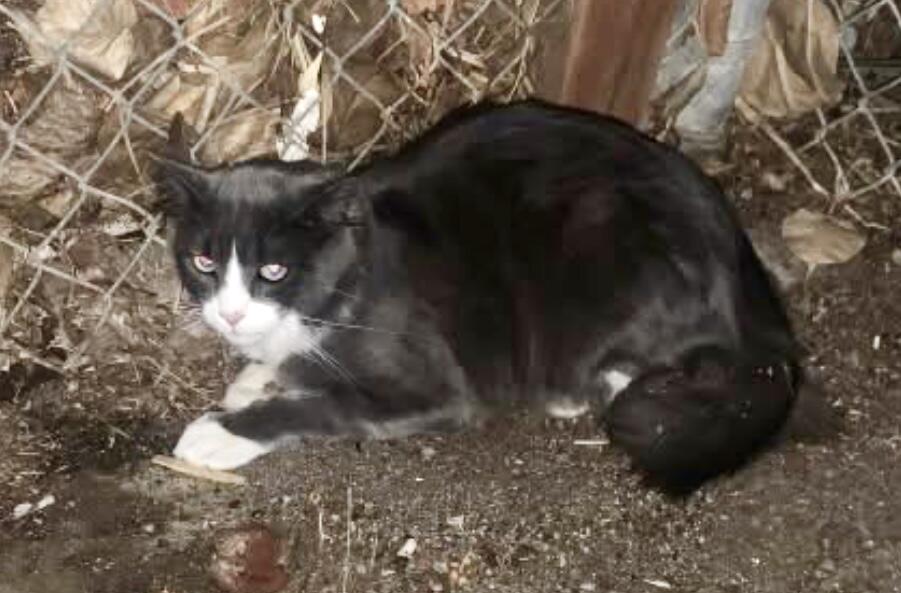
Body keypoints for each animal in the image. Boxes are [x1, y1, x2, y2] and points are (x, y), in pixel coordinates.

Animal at [156, 100, 800, 490]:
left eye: (273, 270)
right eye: (204, 262)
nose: (230, 314)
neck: (346, 279)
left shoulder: (433, 384)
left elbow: (326, 404)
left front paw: (223, 430)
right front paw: (254, 376)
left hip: (605, 241)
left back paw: (572, 390)